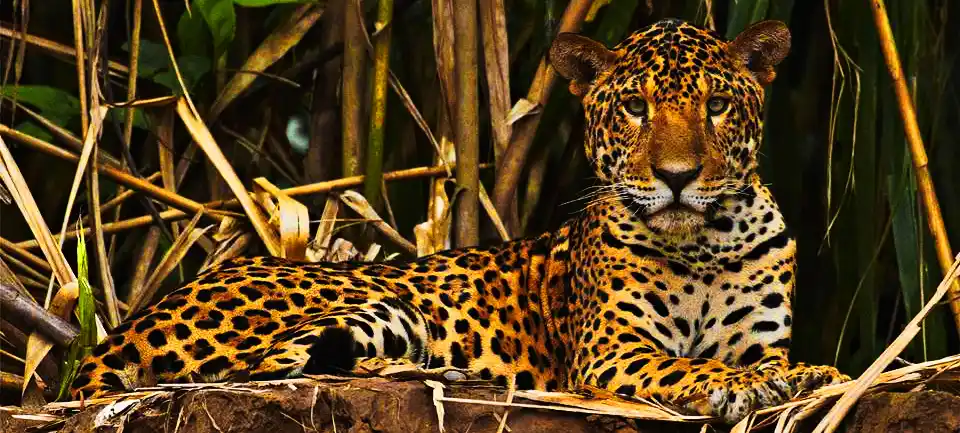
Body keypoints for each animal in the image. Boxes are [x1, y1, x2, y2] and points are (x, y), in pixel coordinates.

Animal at [70, 18, 848, 423]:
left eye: (717, 106)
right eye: (635, 108)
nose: (679, 177)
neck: (703, 247)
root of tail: (114, 337)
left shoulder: (761, 335)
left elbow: (772, 358)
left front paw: (808, 372)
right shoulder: (611, 351)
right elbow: (688, 361)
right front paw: (739, 385)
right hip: (373, 300)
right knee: (260, 369)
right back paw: (428, 369)